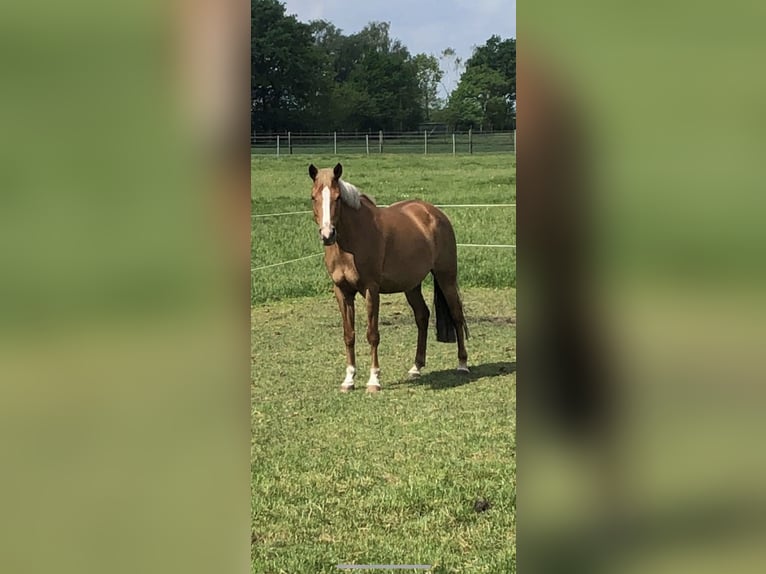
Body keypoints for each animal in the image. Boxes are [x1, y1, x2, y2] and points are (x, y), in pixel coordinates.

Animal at [308, 164, 472, 394]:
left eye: (338, 197)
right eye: (313, 197)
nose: (327, 234)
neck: (350, 243)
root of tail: (434, 213)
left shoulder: (371, 289)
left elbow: (372, 334)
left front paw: (373, 381)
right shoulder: (342, 291)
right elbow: (349, 335)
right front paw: (348, 380)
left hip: (446, 276)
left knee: (457, 315)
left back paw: (462, 364)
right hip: (412, 285)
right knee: (422, 316)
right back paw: (416, 367)